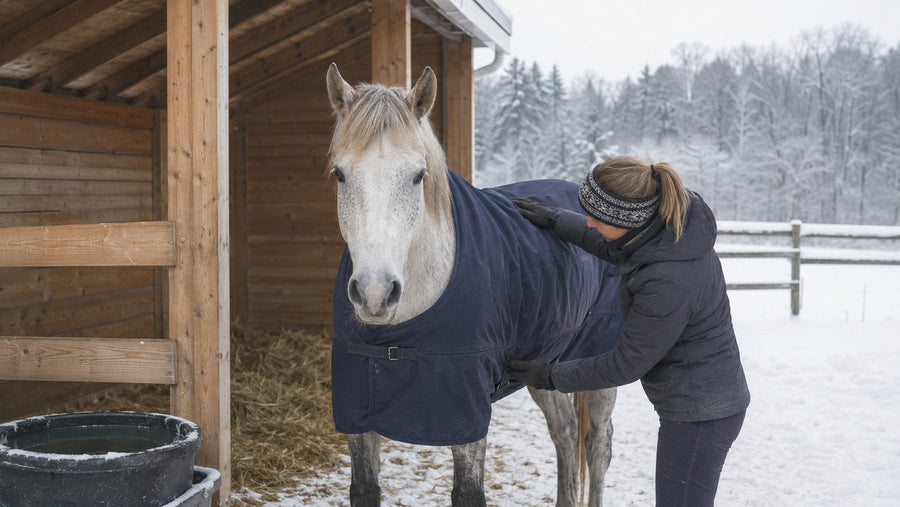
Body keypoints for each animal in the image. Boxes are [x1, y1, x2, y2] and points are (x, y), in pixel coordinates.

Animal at [326, 63, 623, 507]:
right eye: (340, 174)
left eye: (418, 176)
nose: (375, 295)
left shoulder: (467, 415)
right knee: (567, 433)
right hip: (547, 366)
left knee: (598, 446)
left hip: (600, 368)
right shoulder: (359, 412)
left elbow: (468, 492)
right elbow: (365, 488)